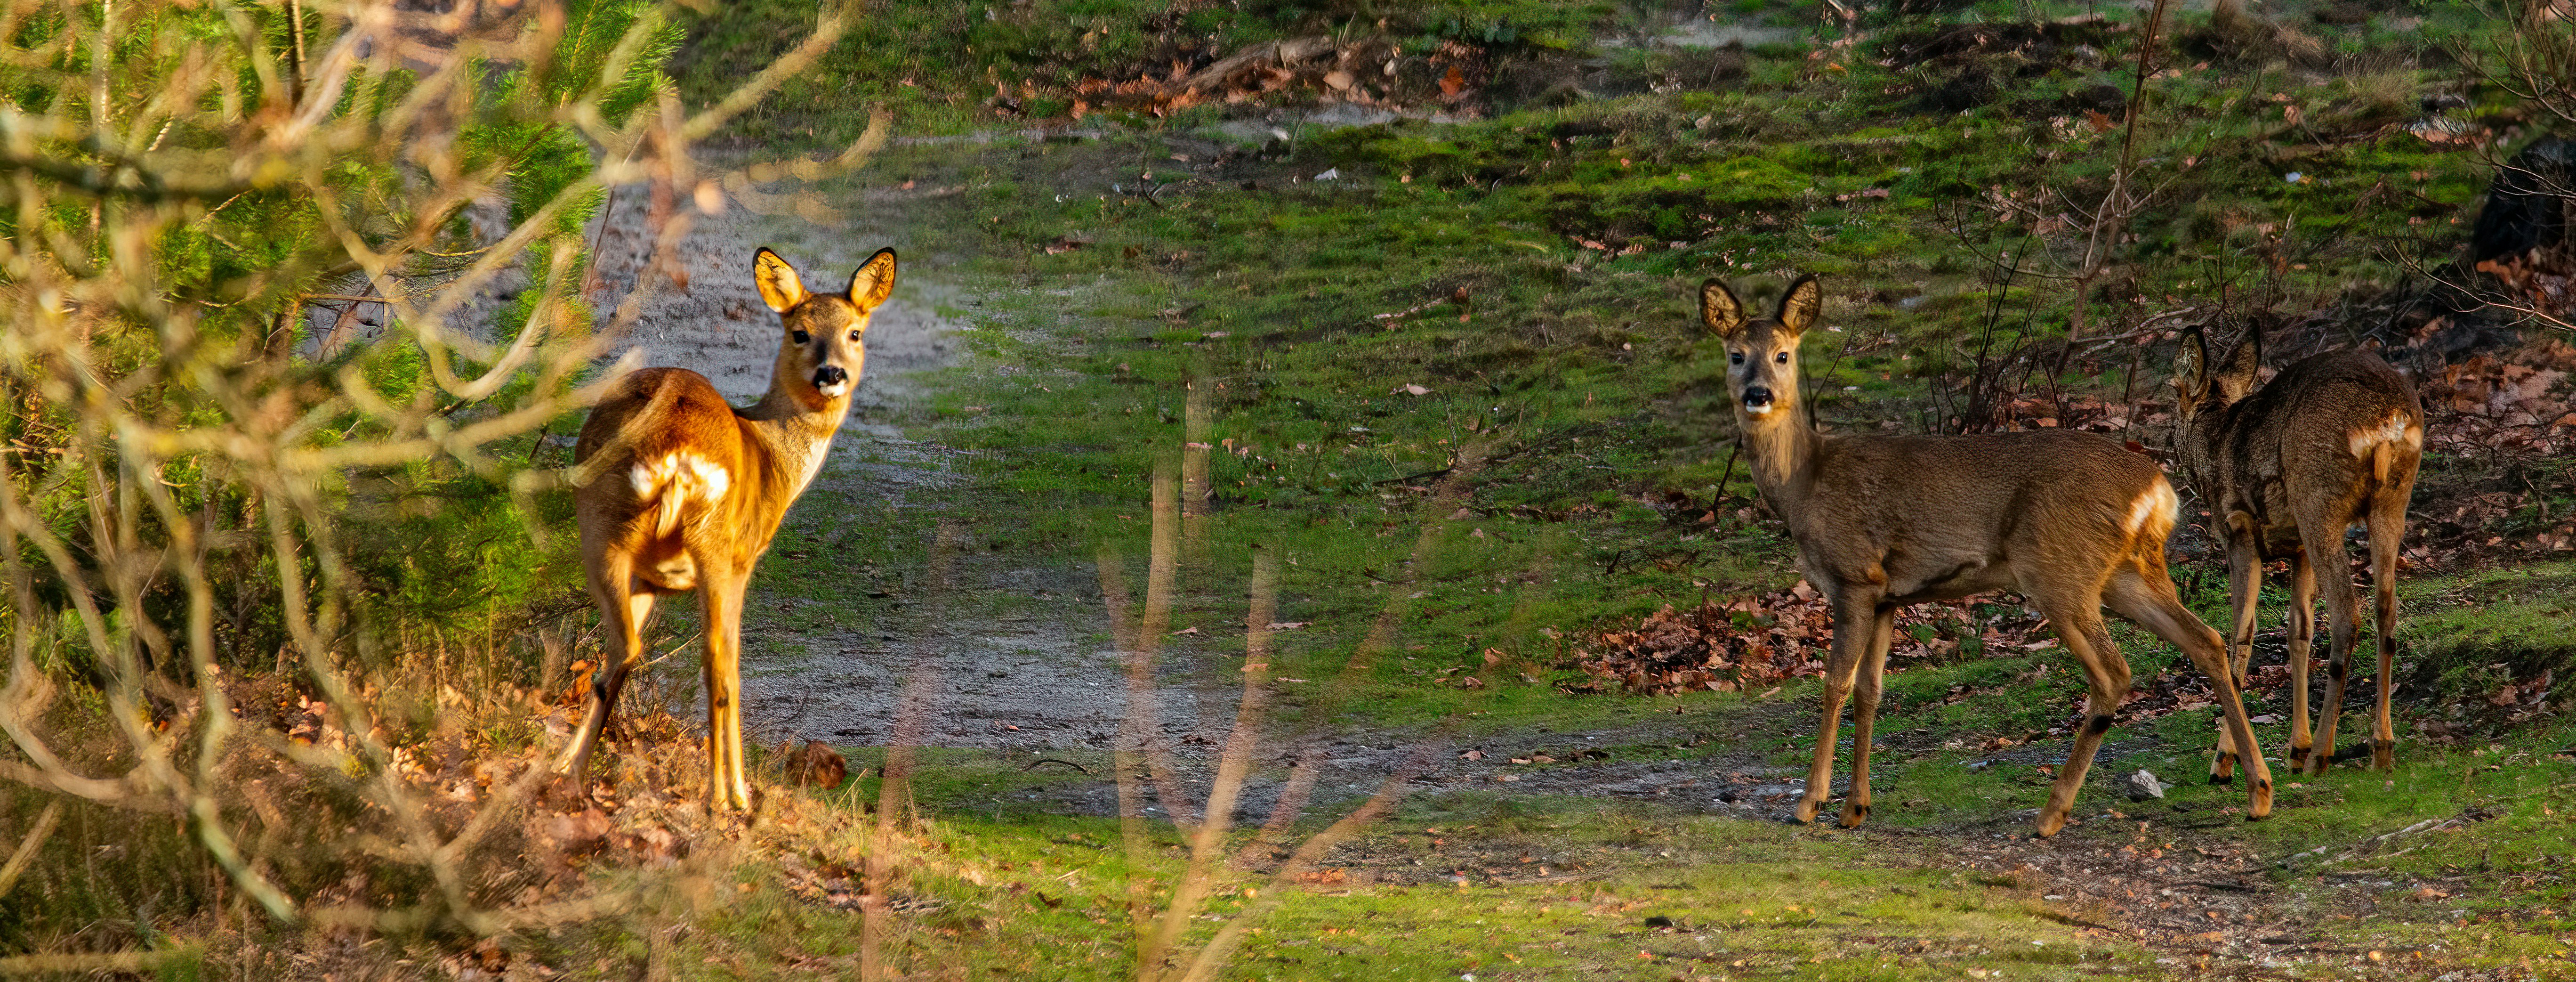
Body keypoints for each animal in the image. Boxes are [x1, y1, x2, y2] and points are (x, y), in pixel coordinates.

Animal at [559, 246, 894, 811]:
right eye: (799, 332)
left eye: (855, 332)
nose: (831, 374)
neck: (771, 456)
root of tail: (673, 451)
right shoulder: (744, 561)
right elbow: (734, 668)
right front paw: (739, 789)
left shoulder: (650, 577)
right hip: (711, 543)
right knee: (714, 663)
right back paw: (725, 798)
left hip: (602, 523)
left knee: (620, 651)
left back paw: (568, 772)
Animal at [1703, 275, 2271, 837]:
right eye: (1736, 354)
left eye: (1782, 354)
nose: (1757, 394)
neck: (1805, 484)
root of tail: (2158, 491)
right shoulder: (1889, 595)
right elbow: (1871, 691)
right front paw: (1855, 808)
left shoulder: (1853, 575)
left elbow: (1834, 684)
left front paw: (1811, 802)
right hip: (2129, 572)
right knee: (2207, 640)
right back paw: (2258, 790)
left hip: (2057, 569)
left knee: (2114, 672)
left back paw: (2052, 812)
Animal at [2172, 327, 2421, 778]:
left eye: (2173, 390)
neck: (2214, 449)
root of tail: (2388, 419)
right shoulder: (2297, 549)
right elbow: (2298, 632)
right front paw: (2295, 747)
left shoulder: (2239, 531)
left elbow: (2242, 633)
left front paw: (2225, 759)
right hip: (2392, 501)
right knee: (2386, 610)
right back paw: (2380, 746)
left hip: (2316, 500)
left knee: (2347, 613)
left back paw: (2323, 753)